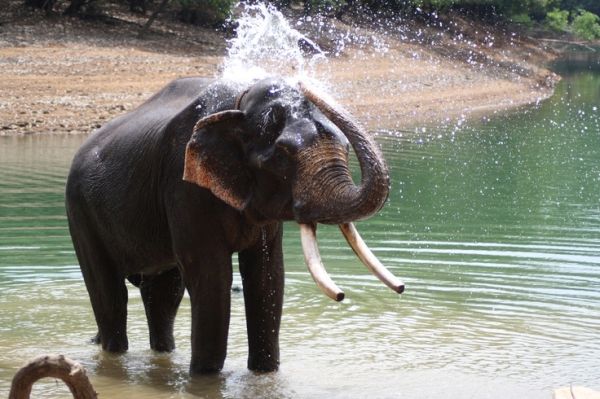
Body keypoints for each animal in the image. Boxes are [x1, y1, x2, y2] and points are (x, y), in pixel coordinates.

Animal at [64, 76, 404, 376]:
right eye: (283, 154)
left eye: (346, 147)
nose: (402, 288)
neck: (240, 102)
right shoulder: (183, 183)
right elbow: (211, 275)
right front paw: (205, 379)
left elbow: (267, 275)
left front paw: (265, 375)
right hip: (80, 210)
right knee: (109, 293)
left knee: (163, 295)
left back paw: (163, 354)